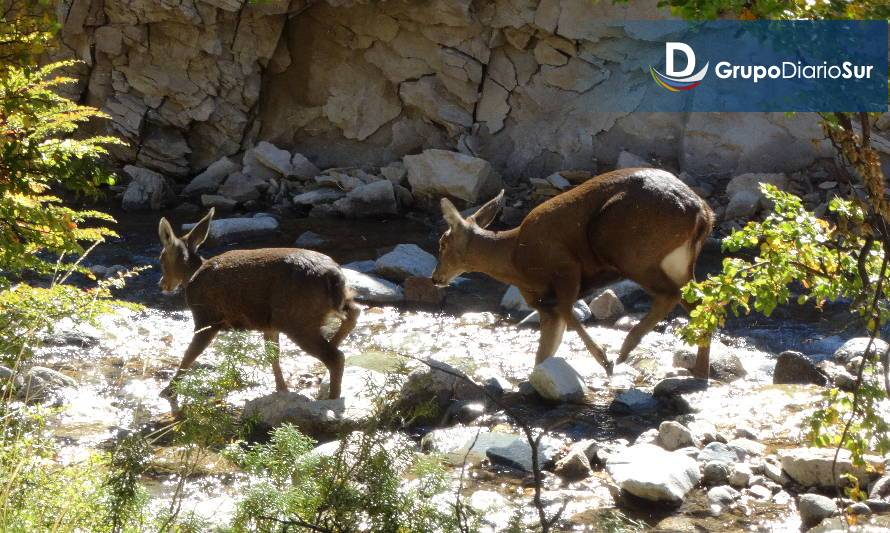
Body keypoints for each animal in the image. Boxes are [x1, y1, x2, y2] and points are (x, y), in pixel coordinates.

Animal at [155, 208, 358, 404]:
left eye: (161, 258)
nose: (162, 284)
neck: (191, 276)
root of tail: (332, 275)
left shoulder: (206, 317)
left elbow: (189, 355)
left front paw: (169, 391)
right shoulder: (268, 325)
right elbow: (272, 356)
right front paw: (281, 389)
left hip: (297, 318)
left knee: (336, 357)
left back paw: (332, 398)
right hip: (315, 308)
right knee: (354, 311)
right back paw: (336, 343)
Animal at [430, 166, 716, 378]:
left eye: (442, 243)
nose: (435, 278)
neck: (515, 260)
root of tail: (702, 214)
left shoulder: (565, 265)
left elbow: (567, 311)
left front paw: (603, 359)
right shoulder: (545, 303)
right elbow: (545, 349)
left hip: (627, 247)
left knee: (671, 295)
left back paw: (623, 352)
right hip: (678, 264)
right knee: (700, 305)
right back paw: (700, 373)